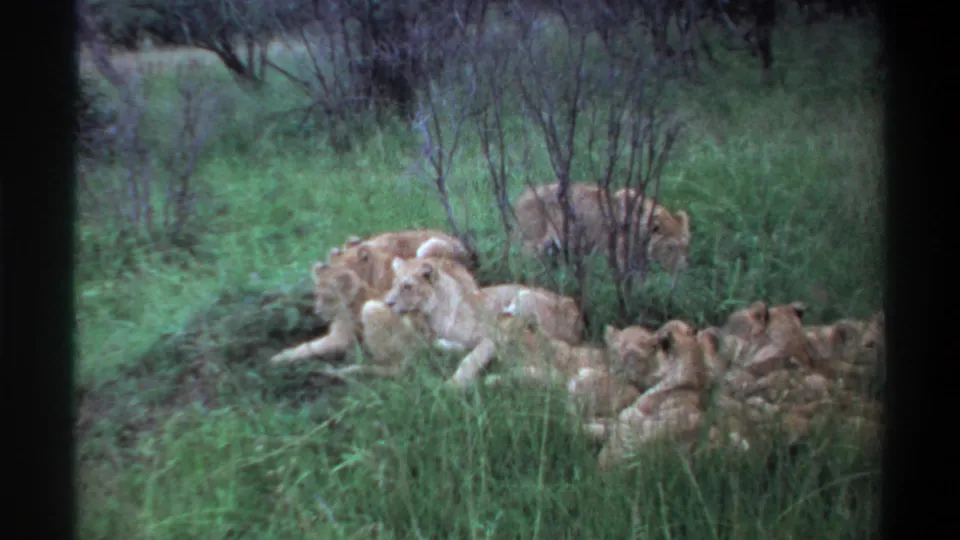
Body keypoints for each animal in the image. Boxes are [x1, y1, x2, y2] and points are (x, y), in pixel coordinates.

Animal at [512, 182, 691, 277]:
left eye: (685, 247)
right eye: (670, 247)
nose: (682, 270)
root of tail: (520, 197)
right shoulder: (619, 259)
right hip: (533, 244)